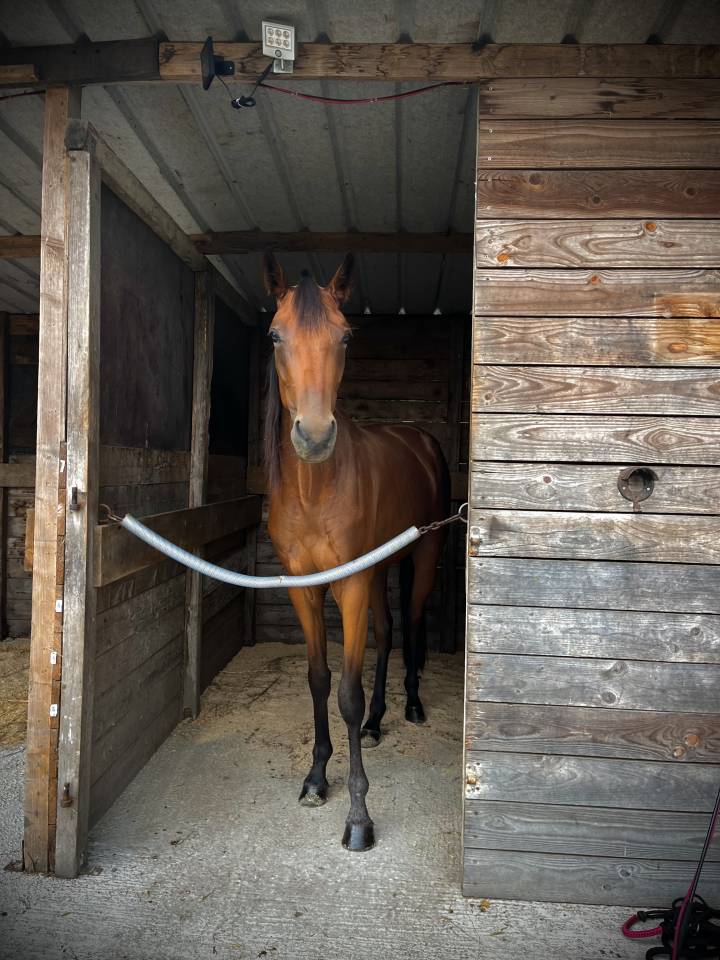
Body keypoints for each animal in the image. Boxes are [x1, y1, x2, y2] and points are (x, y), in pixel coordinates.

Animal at [263, 251, 450, 852]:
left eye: (345, 337)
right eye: (275, 334)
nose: (315, 436)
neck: (314, 490)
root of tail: (419, 439)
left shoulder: (350, 586)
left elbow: (346, 690)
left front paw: (359, 815)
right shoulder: (305, 590)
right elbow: (319, 680)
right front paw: (317, 777)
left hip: (419, 559)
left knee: (410, 625)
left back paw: (410, 705)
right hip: (379, 572)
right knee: (388, 633)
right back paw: (375, 722)